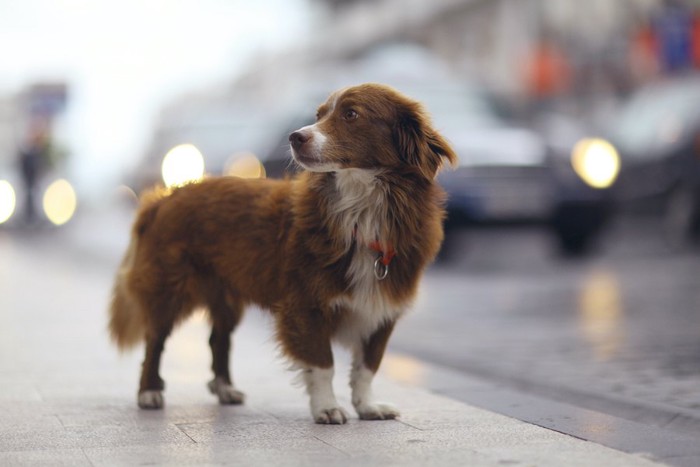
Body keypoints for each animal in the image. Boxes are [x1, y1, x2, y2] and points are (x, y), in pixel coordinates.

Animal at [108, 83, 460, 424]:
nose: (295, 136)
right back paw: (149, 392)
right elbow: (323, 364)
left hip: (225, 294)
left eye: (351, 114)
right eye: (318, 114)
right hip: (169, 286)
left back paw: (225, 389)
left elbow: (367, 368)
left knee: (218, 340)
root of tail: (162, 198)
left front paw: (368, 407)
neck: (362, 212)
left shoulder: (381, 308)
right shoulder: (306, 304)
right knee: (155, 340)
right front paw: (327, 408)